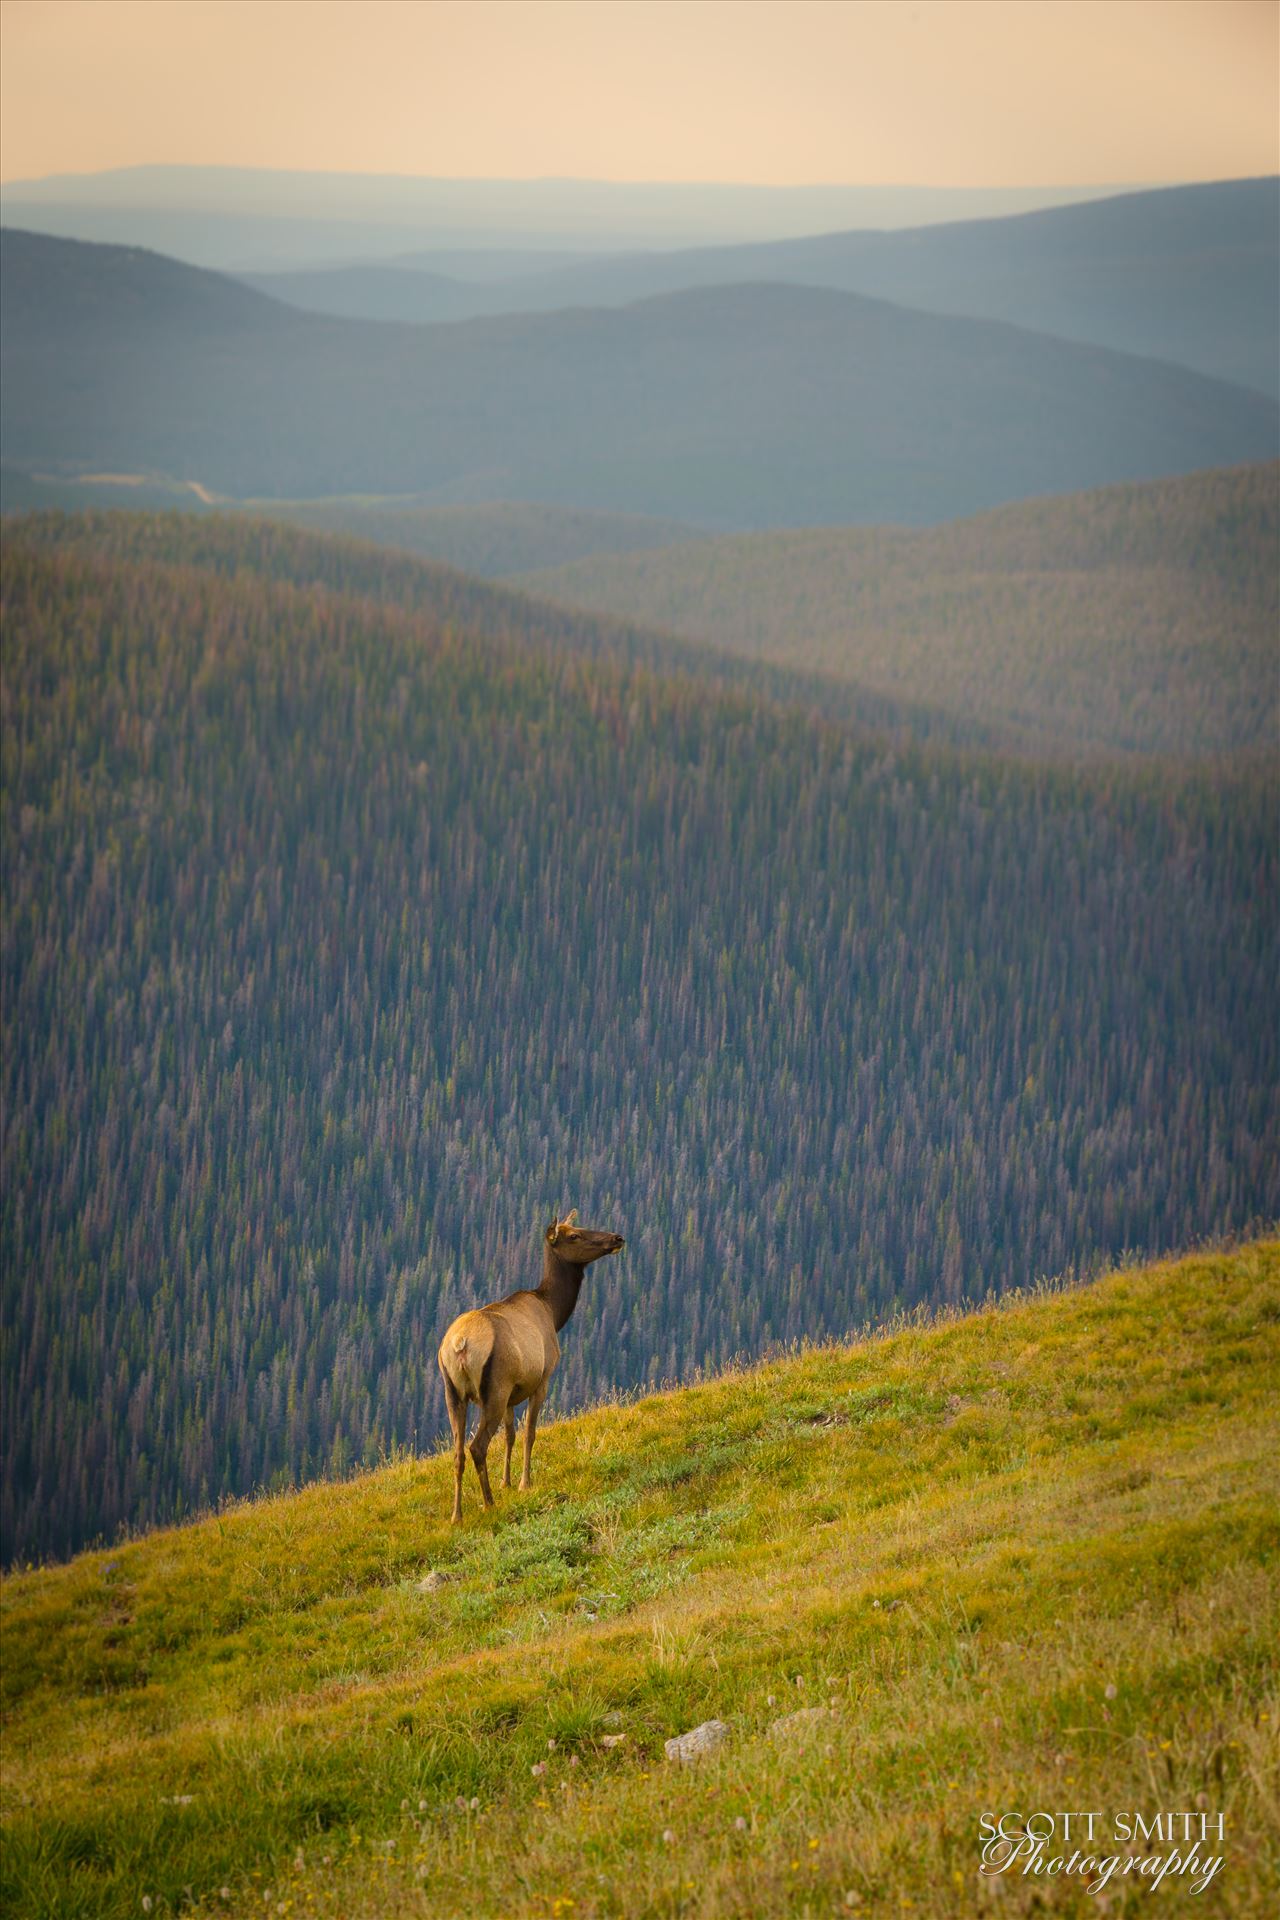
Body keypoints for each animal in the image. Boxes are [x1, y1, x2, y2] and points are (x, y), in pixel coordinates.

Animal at [435, 1205, 625, 1520]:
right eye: (574, 1235)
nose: (617, 1237)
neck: (554, 1311)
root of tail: (460, 1345)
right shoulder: (541, 1380)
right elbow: (529, 1433)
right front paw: (524, 1483)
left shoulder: (513, 1394)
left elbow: (510, 1436)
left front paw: (506, 1482)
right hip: (494, 1389)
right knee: (477, 1447)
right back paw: (488, 1503)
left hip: (454, 1392)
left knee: (458, 1452)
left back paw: (456, 1514)